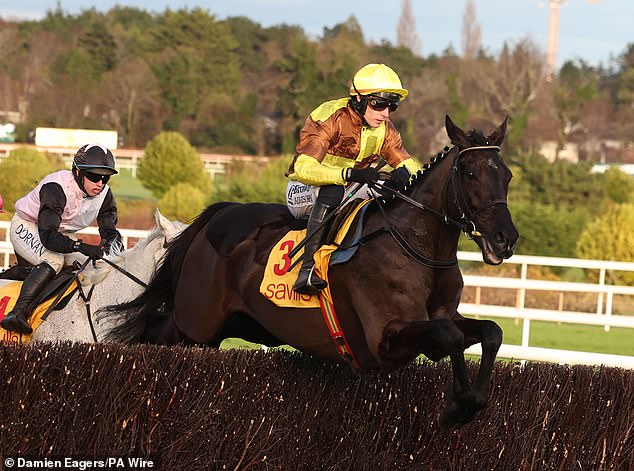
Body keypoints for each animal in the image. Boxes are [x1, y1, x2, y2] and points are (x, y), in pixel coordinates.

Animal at [105, 116, 520, 430]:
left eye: (507, 176)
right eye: (470, 172)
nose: (505, 238)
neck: (416, 246)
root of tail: (217, 213)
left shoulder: (441, 316)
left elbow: (490, 332)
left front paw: (473, 399)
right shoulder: (385, 339)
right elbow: (450, 336)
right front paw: (457, 406)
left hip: (235, 326)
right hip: (196, 324)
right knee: (153, 331)